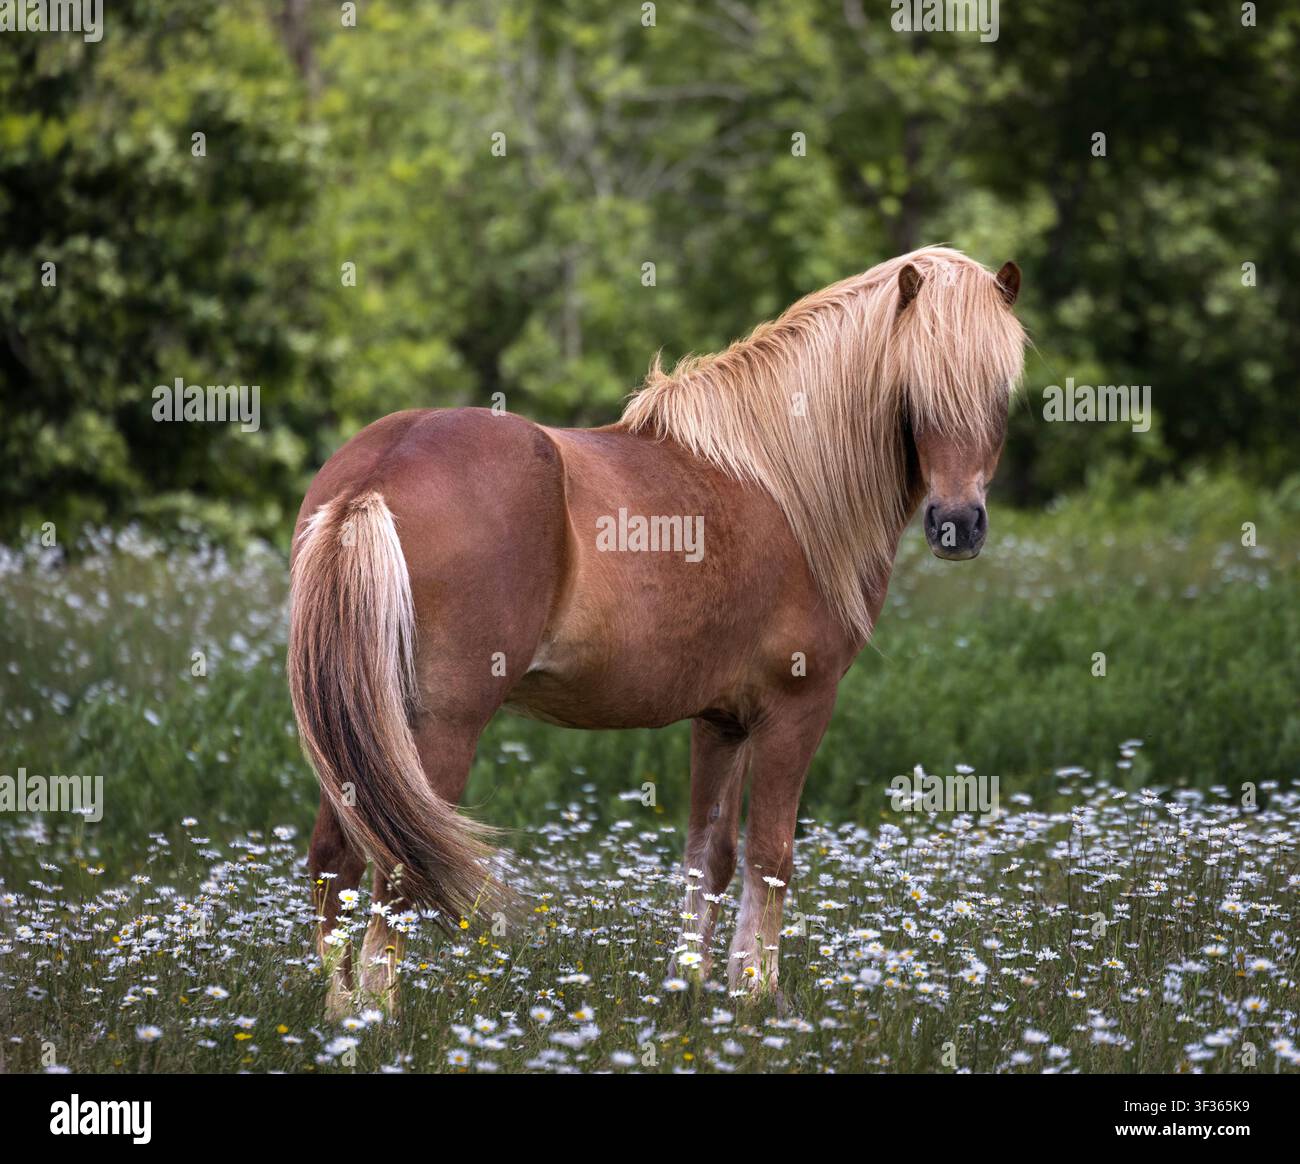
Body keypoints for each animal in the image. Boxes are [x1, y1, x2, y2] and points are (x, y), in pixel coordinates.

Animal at [288, 245, 1026, 1014]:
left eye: (1000, 391)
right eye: (917, 391)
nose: (958, 524)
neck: (784, 483)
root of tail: (375, 475)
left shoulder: (722, 720)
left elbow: (711, 857)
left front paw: (694, 988)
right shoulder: (797, 707)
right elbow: (772, 854)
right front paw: (757, 996)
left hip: (358, 730)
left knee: (335, 862)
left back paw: (341, 1012)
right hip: (438, 728)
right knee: (394, 873)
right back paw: (379, 1016)